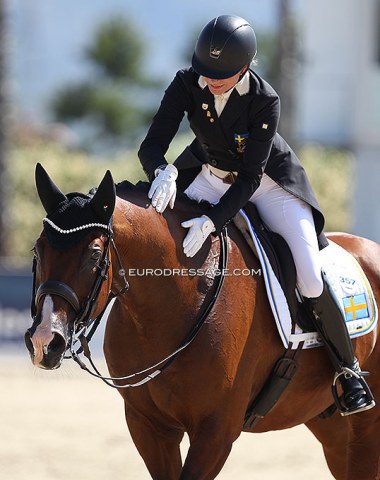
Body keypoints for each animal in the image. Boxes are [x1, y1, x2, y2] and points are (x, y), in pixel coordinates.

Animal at [25, 163, 378, 478]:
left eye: (95, 255)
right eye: (37, 250)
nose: (45, 340)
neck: (167, 310)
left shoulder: (216, 433)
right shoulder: (148, 426)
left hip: (364, 425)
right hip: (330, 426)